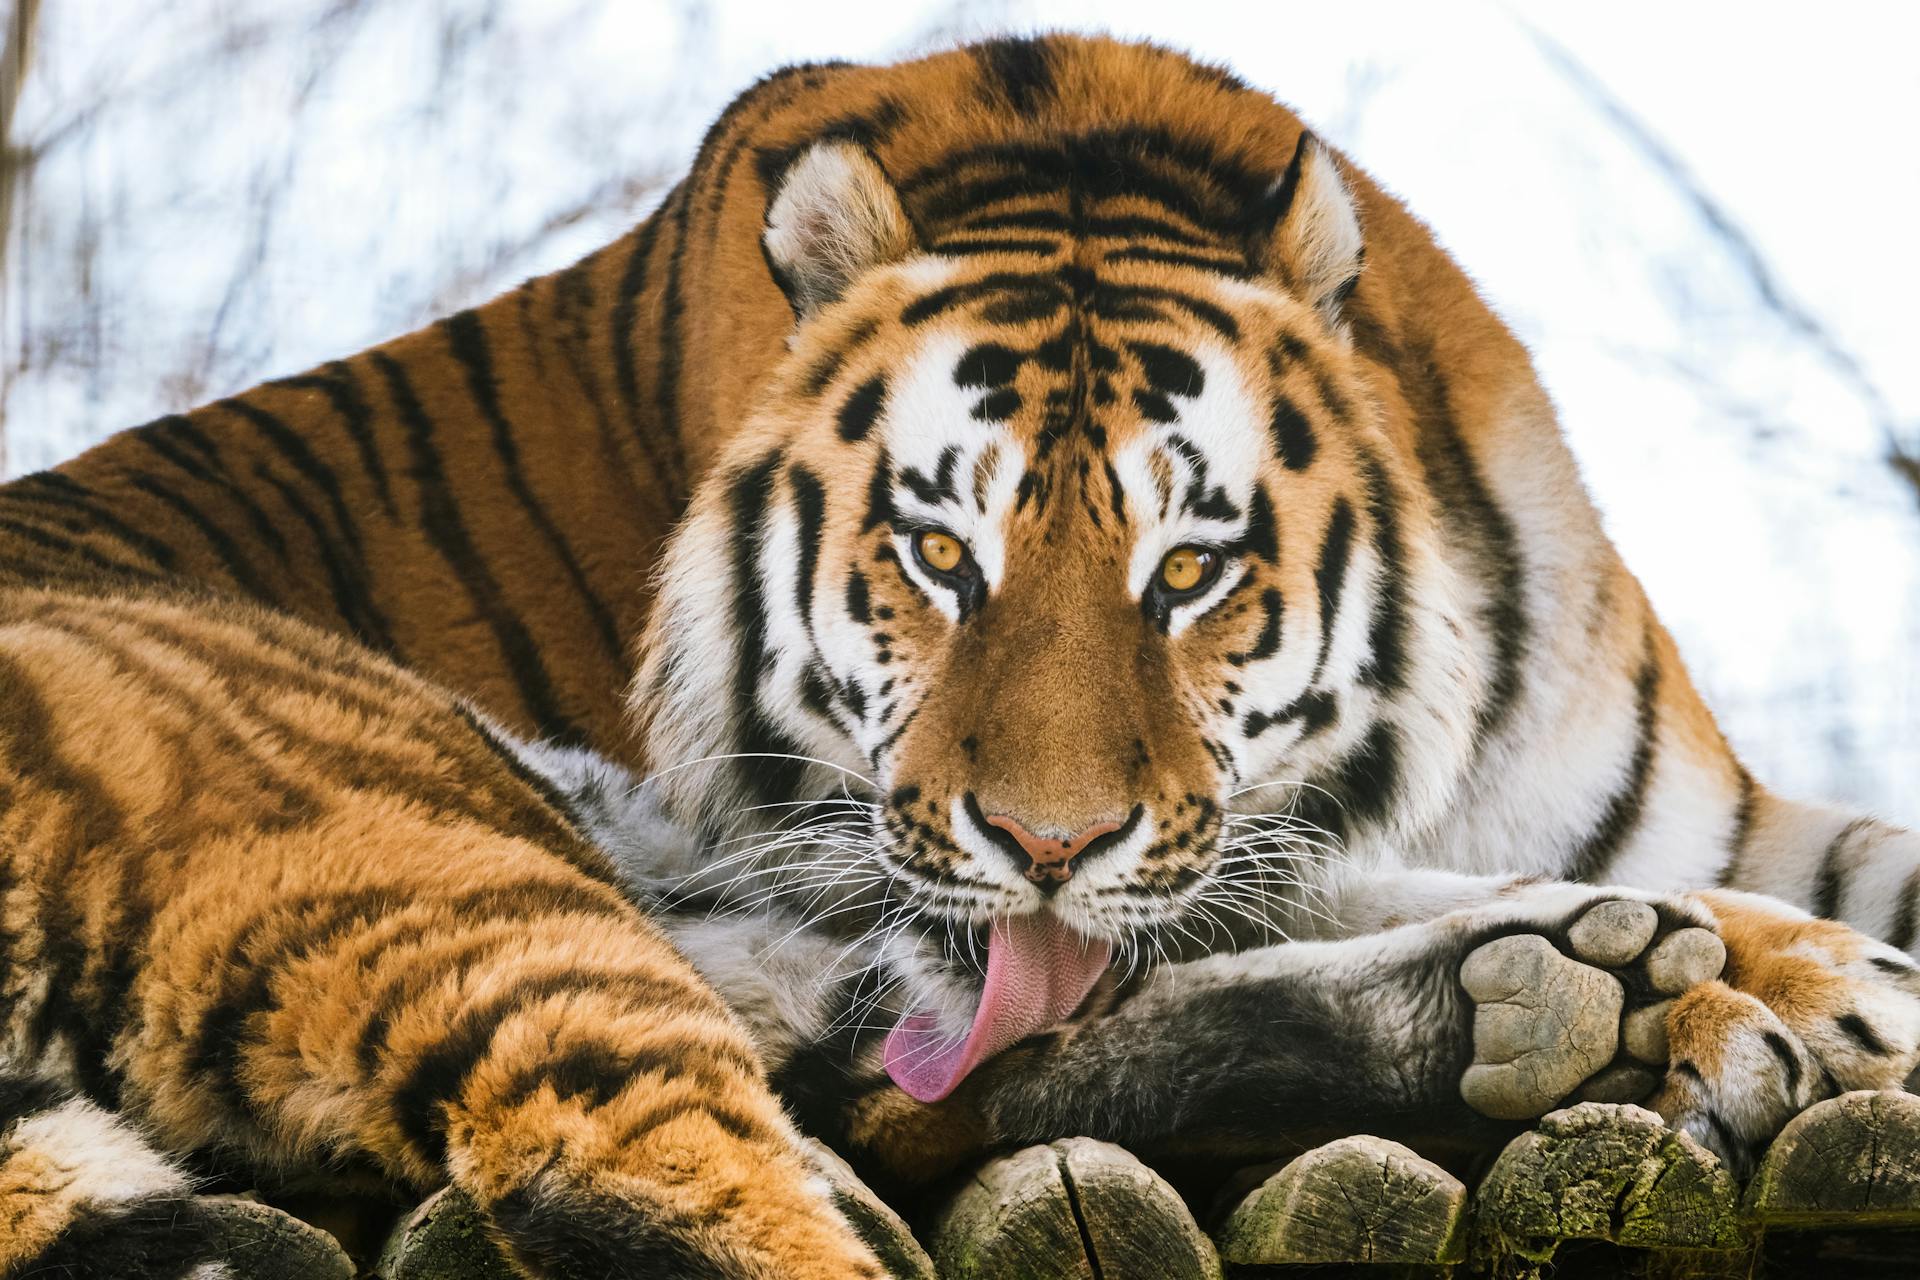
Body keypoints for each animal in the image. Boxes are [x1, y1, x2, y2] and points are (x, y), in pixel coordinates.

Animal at [0, 29, 1912, 1280]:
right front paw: (1800, 987)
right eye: (936, 553)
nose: (1049, 846)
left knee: (937, 1071)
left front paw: (1772, 968)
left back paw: (1567, 993)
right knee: (712, 1151)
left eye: (1192, 568)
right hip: (446, 852)